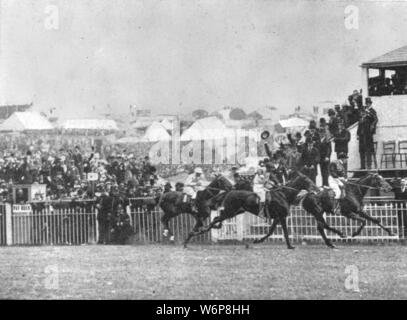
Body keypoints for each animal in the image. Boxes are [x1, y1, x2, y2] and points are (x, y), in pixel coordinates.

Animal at [183, 172, 320, 250]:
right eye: (308, 180)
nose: (317, 189)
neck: (284, 195)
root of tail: (230, 191)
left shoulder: (277, 217)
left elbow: (270, 232)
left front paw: (257, 240)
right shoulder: (281, 216)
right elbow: (285, 232)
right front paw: (290, 246)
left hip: (236, 212)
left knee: (217, 219)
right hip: (230, 211)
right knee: (216, 219)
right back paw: (197, 231)